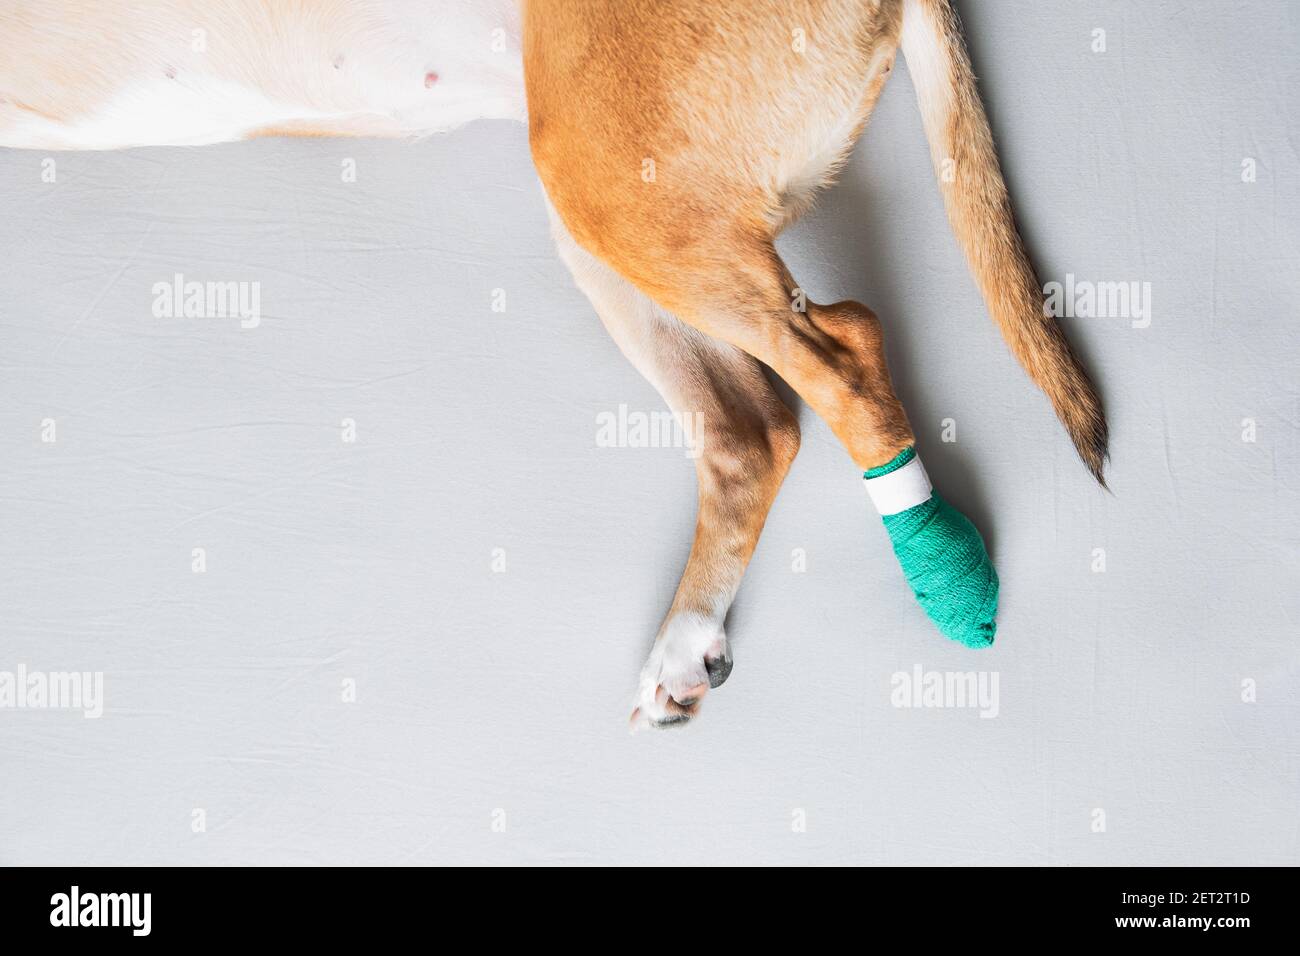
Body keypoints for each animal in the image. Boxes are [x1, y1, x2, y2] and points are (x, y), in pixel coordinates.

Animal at [0, 1, 1107, 733]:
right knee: (754, 429)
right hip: (614, 202)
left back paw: (950, 581)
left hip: (611, 189)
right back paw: (687, 641)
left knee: (849, 356)